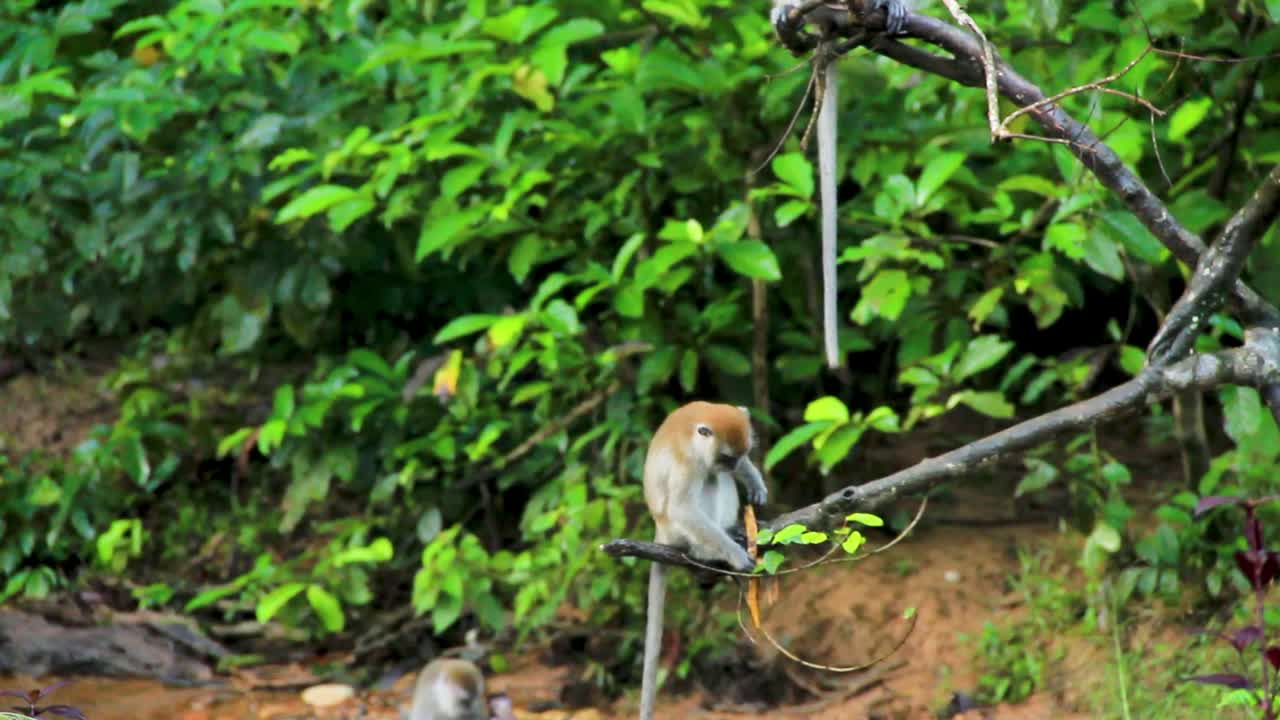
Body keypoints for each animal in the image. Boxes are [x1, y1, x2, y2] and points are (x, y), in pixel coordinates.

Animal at [638, 401, 768, 720]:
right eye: (726, 456)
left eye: (741, 455)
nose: (733, 466)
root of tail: (660, 528)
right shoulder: (689, 463)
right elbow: (683, 507)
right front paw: (735, 555)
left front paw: (754, 482)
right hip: (676, 529)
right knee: (710, 482)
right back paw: (708, 550)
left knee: (718, 479)